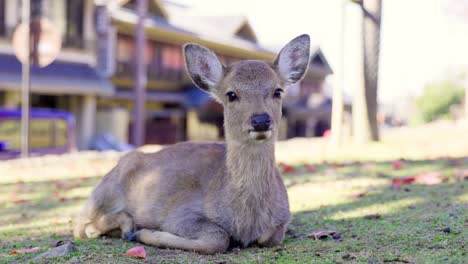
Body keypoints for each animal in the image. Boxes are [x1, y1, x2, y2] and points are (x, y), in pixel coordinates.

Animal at [74, 35, 310, 254]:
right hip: (103, 193)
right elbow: (218, 238)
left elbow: (270, 237)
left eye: (278, 91)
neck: (245, 221)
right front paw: (147, 233)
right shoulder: (180, 214)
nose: (260, 120)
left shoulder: (282, 218)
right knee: (82, 226)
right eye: (231, 94)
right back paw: (129, 227)